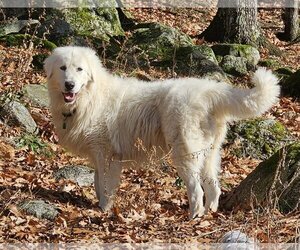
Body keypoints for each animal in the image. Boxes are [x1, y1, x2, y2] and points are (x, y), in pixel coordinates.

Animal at [44, 46, 278, 218]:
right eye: (63, 68)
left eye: (80, 69)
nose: (69, 85)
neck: (90, 97)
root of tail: (208, 90)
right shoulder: (100, 156)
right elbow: (97, 183)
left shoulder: (107, 155)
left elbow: (106, 187)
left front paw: (103, 210)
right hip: (209, 154)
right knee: (213, 188)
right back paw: (209, 214)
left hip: (185, 152)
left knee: (196, 189)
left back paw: (194, 217)